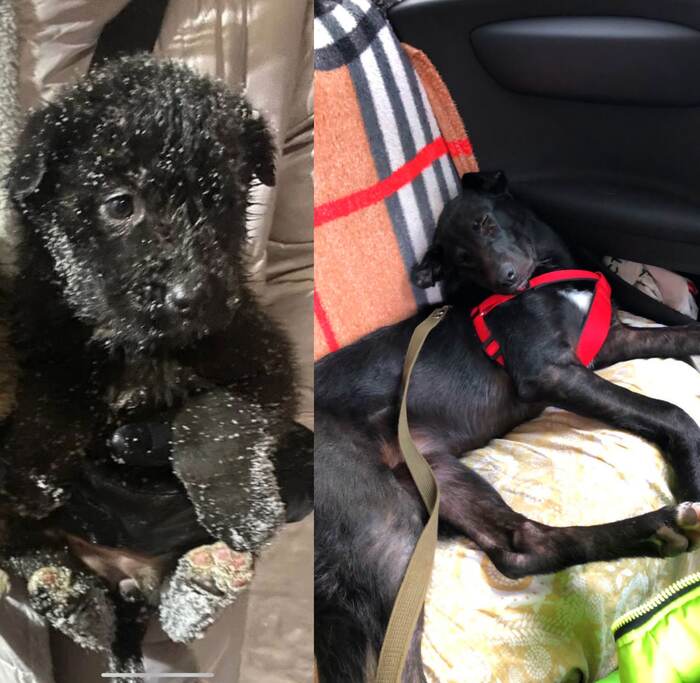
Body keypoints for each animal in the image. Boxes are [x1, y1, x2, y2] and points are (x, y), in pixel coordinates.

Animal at [1, 55, 312, 675]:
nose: (192, 295)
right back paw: (66, 594)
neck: (142, 348)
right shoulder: (42, 339)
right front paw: (32, 469)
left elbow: (212, 418)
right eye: (122, 203)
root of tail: (128, 586)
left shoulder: (264, 361)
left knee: (182, 591)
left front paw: (241, 507)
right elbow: (51, 396)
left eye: (221, 201)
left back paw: (211, 575)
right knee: (35, 553)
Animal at [315, 170, 700, 682]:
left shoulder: (609, 342)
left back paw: (659, 531)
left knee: (521, 547)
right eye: (460, 258)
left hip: (431, 474)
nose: (506, 280)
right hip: (383, 526)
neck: (546, 274)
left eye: (485, 223)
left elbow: (684, 335)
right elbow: (669, 411)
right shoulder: (549, 371)